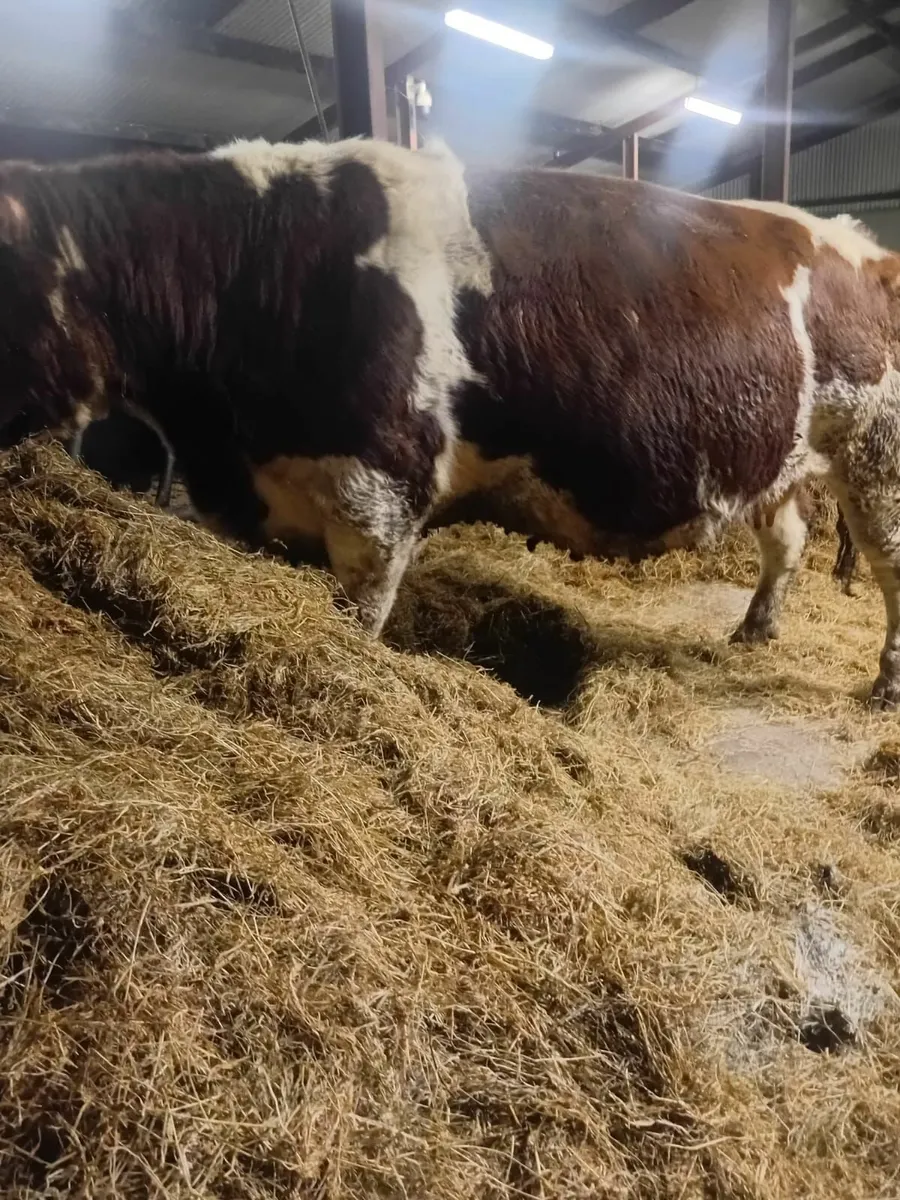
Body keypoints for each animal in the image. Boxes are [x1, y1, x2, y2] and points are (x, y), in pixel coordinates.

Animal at [1, 138, 900, 708]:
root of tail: (867, 246)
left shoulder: (380, 492)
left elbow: (358, 621)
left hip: (875, 453)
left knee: (888, 564)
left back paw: (883, 686)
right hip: (784, 450)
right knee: (786, 540)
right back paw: (755, 631)